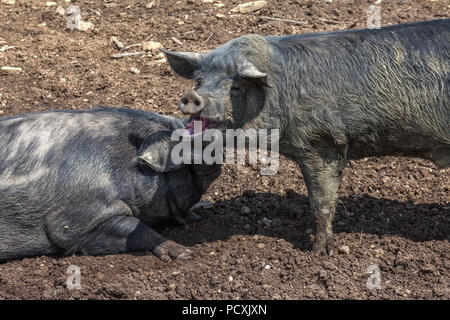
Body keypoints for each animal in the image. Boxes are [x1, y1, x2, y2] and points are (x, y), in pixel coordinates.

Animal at [162, 20, 450, 255]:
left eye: (235, 86)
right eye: (200, 81)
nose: (193, 97)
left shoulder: (323, 144)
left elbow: (321, 201)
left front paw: (318, 253)